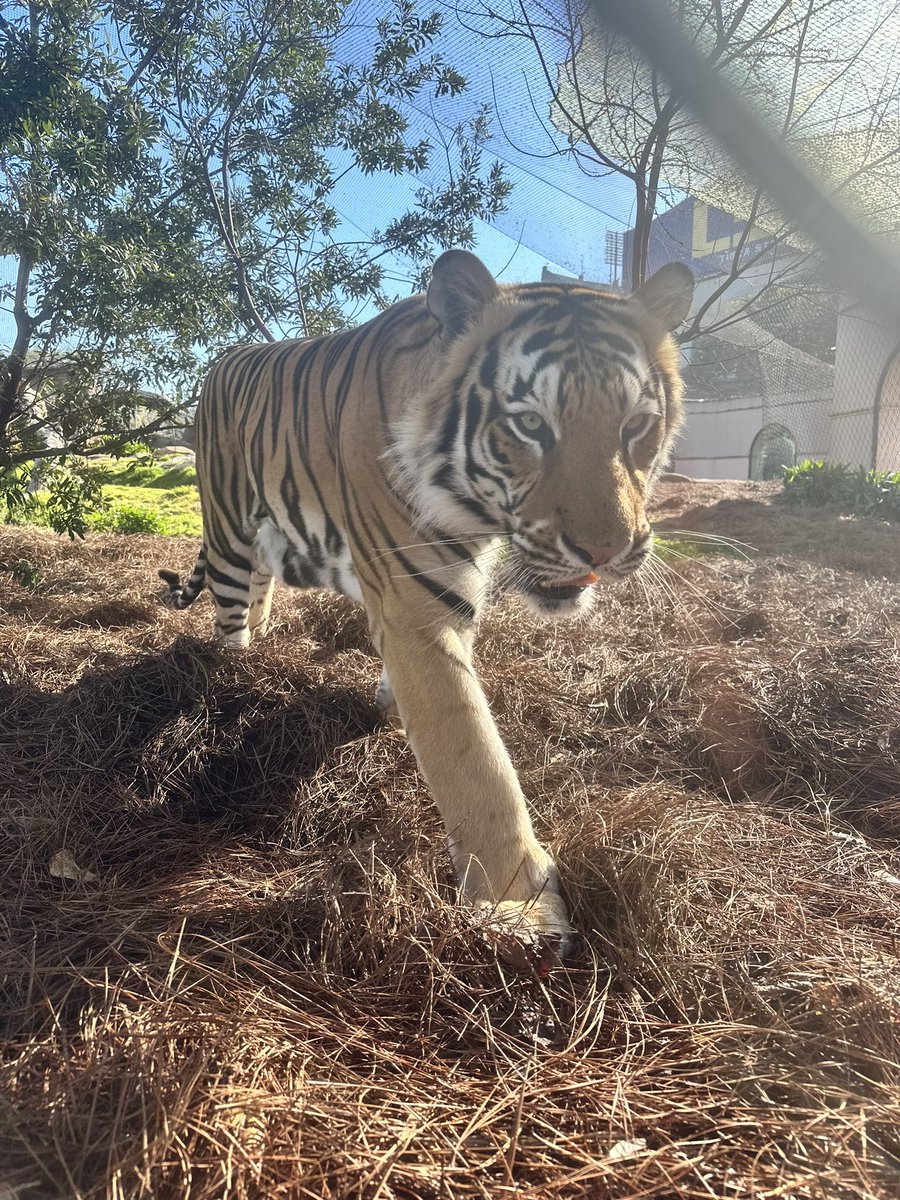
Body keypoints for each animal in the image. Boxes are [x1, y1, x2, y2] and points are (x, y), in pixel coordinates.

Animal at [160, 249, 693, 965]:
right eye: (530, 424)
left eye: (636, 426)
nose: (606, 550)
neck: (480, 515)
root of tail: (224, 358)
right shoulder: (419, 609)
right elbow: (476, 761)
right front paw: (518, 911)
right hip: (226, 532)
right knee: (229, 615)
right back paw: (237, 671)